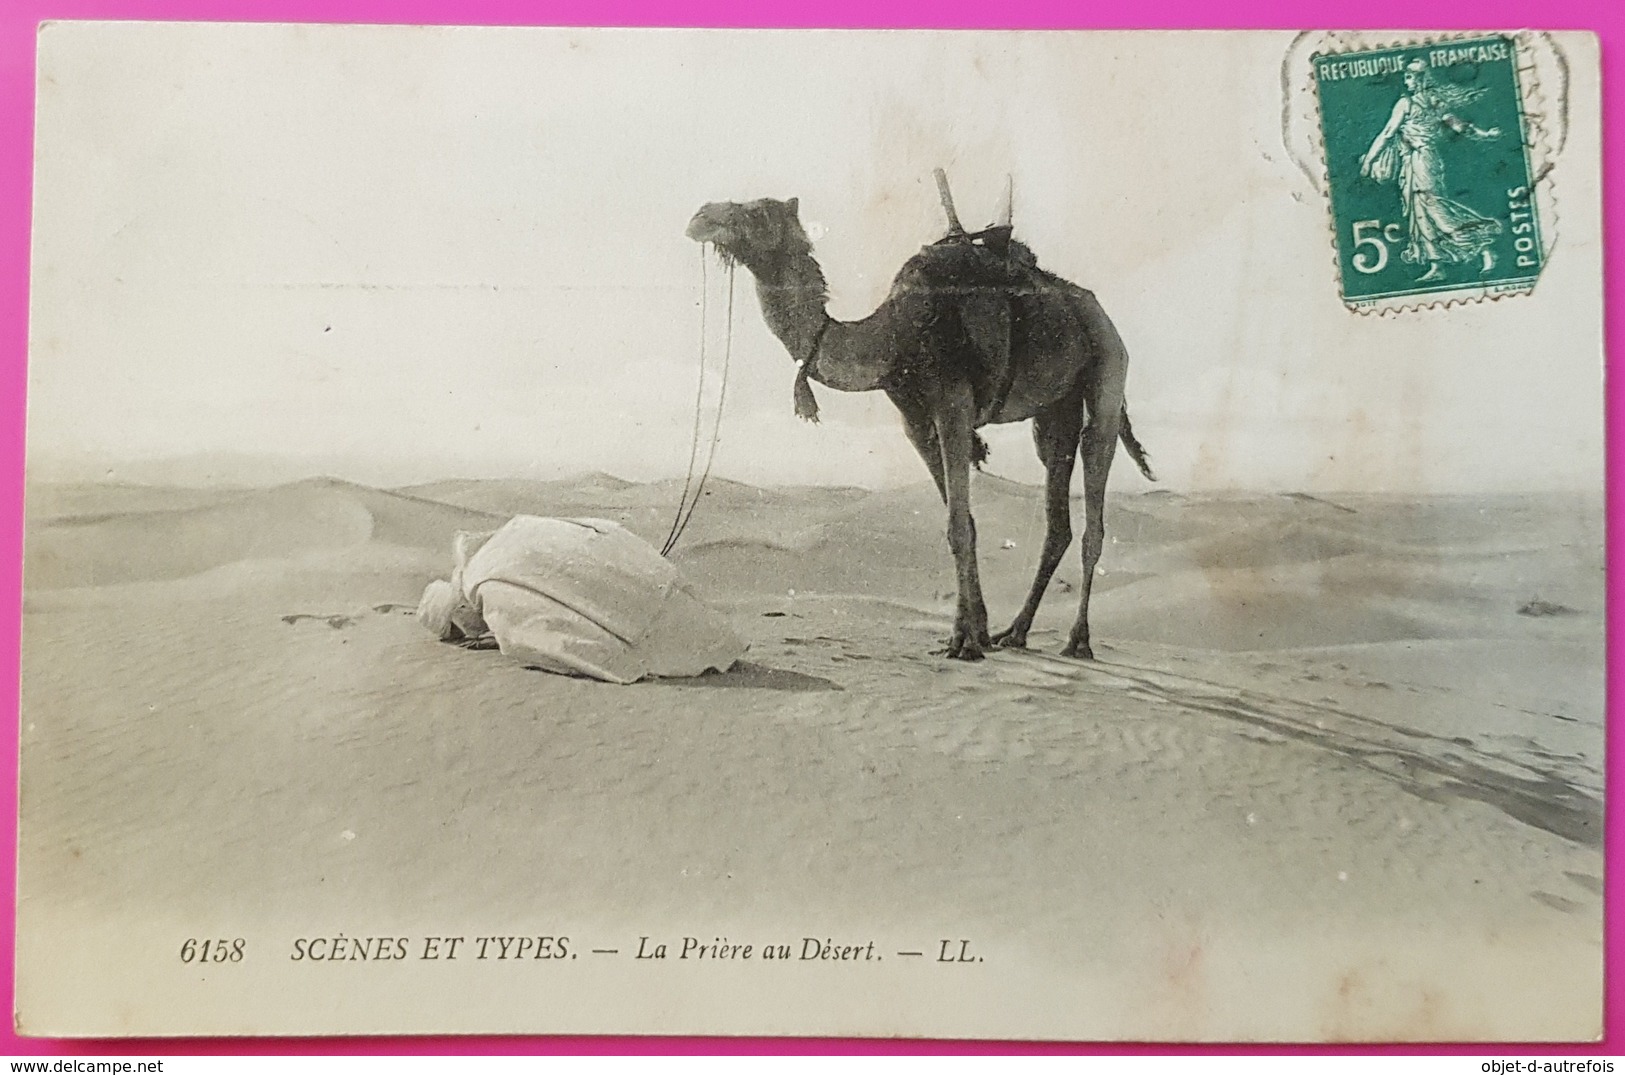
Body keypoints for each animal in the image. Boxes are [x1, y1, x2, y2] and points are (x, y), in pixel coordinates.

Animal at [685, 197, 1157, 662]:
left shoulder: (954, 407)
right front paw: (978, 632)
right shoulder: (915, 421)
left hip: (1107, 371)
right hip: (1055, 410)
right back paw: (1015, 633)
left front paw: (963, 643)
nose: (700, 216)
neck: (896, 334)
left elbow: (957, 525)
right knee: (1057, 517)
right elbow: (964, 522)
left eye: (757, 211)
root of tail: (1096, 312)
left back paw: (1079, 640)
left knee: (1095, 494)